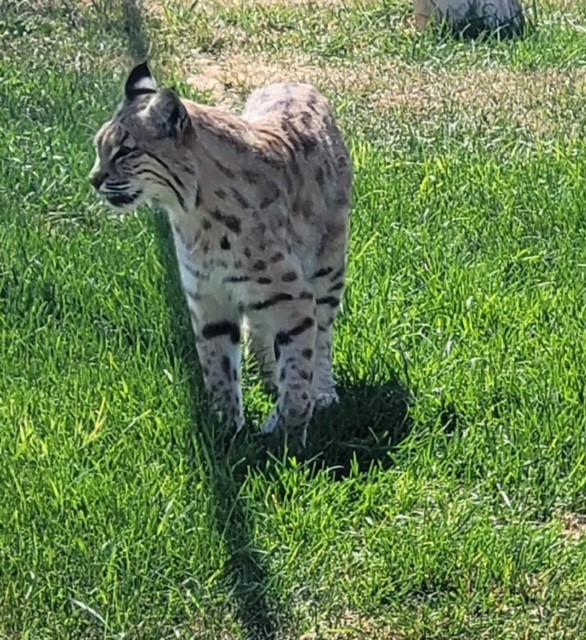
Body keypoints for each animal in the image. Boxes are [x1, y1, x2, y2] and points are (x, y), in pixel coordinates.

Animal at [89, 61, 352, 445]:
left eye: (125, 151)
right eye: (99, 147)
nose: (93, 180)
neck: (192, 212)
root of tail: (294, 82)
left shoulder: (293, 295)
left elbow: (298, 366)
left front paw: (290, 437)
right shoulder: (207, 295)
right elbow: (218, 368)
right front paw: (226, 431)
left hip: (327, 268)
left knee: (323, 330)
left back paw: (322, 391)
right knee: (260, 328)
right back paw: (268, 380)